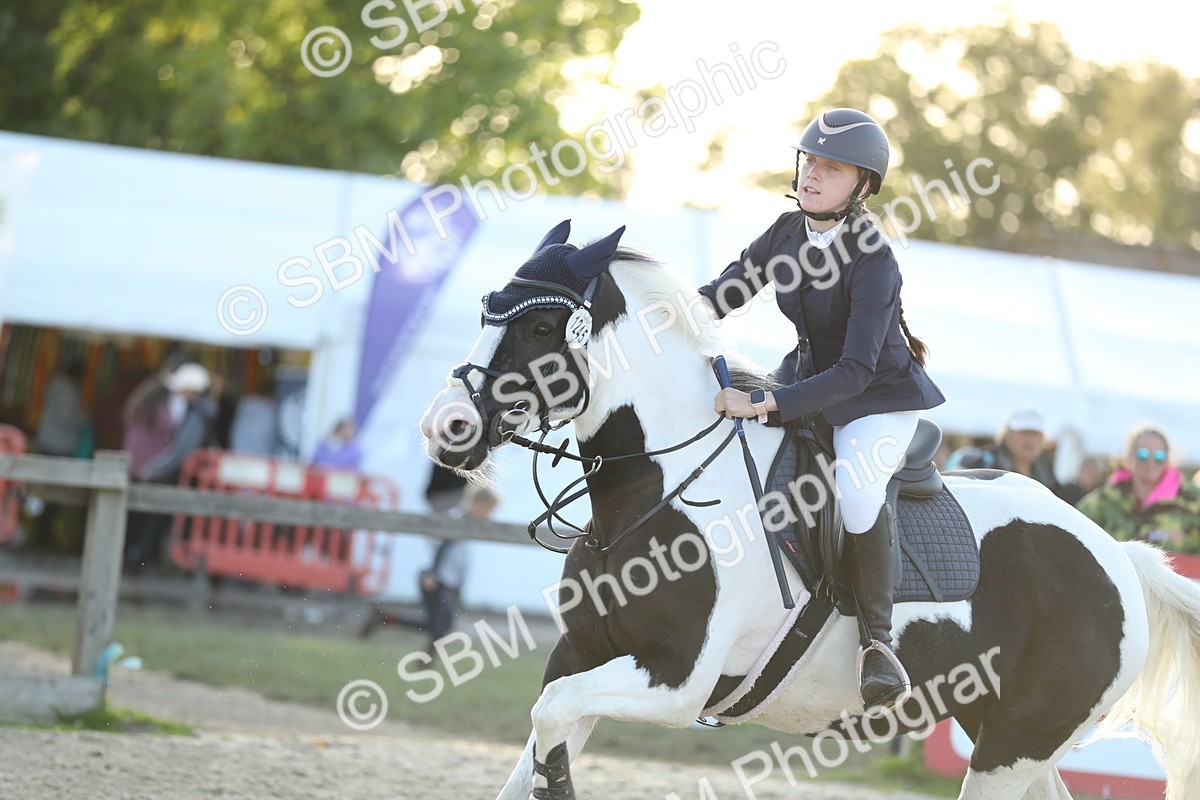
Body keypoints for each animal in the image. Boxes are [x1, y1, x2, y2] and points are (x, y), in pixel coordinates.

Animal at [419, 220, 1200, 800]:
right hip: (1006, 736)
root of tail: (1117, 556)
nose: (445, 426)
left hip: (1016, 744)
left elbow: (550, 721)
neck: (650, 495)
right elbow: (540, 732)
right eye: (488, 309)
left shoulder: (673, 680)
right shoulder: (580, 655)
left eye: (541, 330)